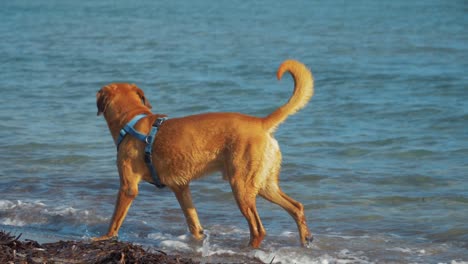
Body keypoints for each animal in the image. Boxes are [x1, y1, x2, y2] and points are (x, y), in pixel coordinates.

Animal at [95, 59, 314, 248]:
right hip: (263, 184)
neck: (132, 120)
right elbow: (193, 222)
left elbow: (115, 220)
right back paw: (305, 239)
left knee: (258, 229)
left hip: (241, 186)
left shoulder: (128, 187)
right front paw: (198, 239)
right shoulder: (181, 188)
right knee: (296, 207)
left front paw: (105, 238)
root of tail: (261, 123)